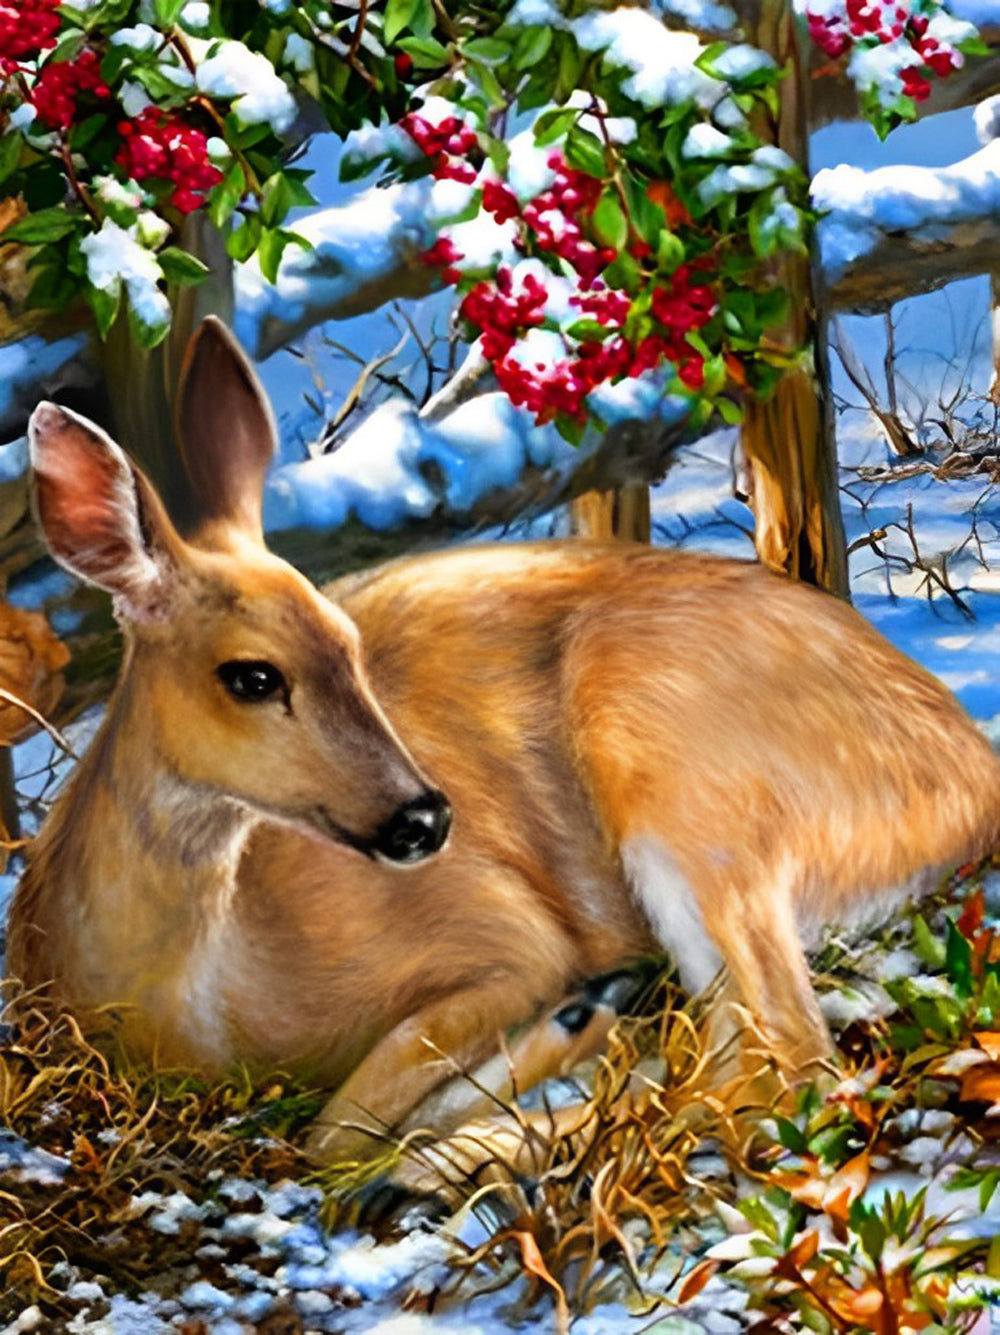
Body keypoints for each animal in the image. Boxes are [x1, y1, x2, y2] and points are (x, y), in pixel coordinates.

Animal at [7, 315, 999, 1170]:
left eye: (350, 643)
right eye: (251, 675)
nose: (424, 818)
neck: (185, 1004)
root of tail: (975, 769)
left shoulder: (504, 933)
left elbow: (335, 1130)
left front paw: (557, 1040)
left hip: (681, 774)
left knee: (786, 1057)